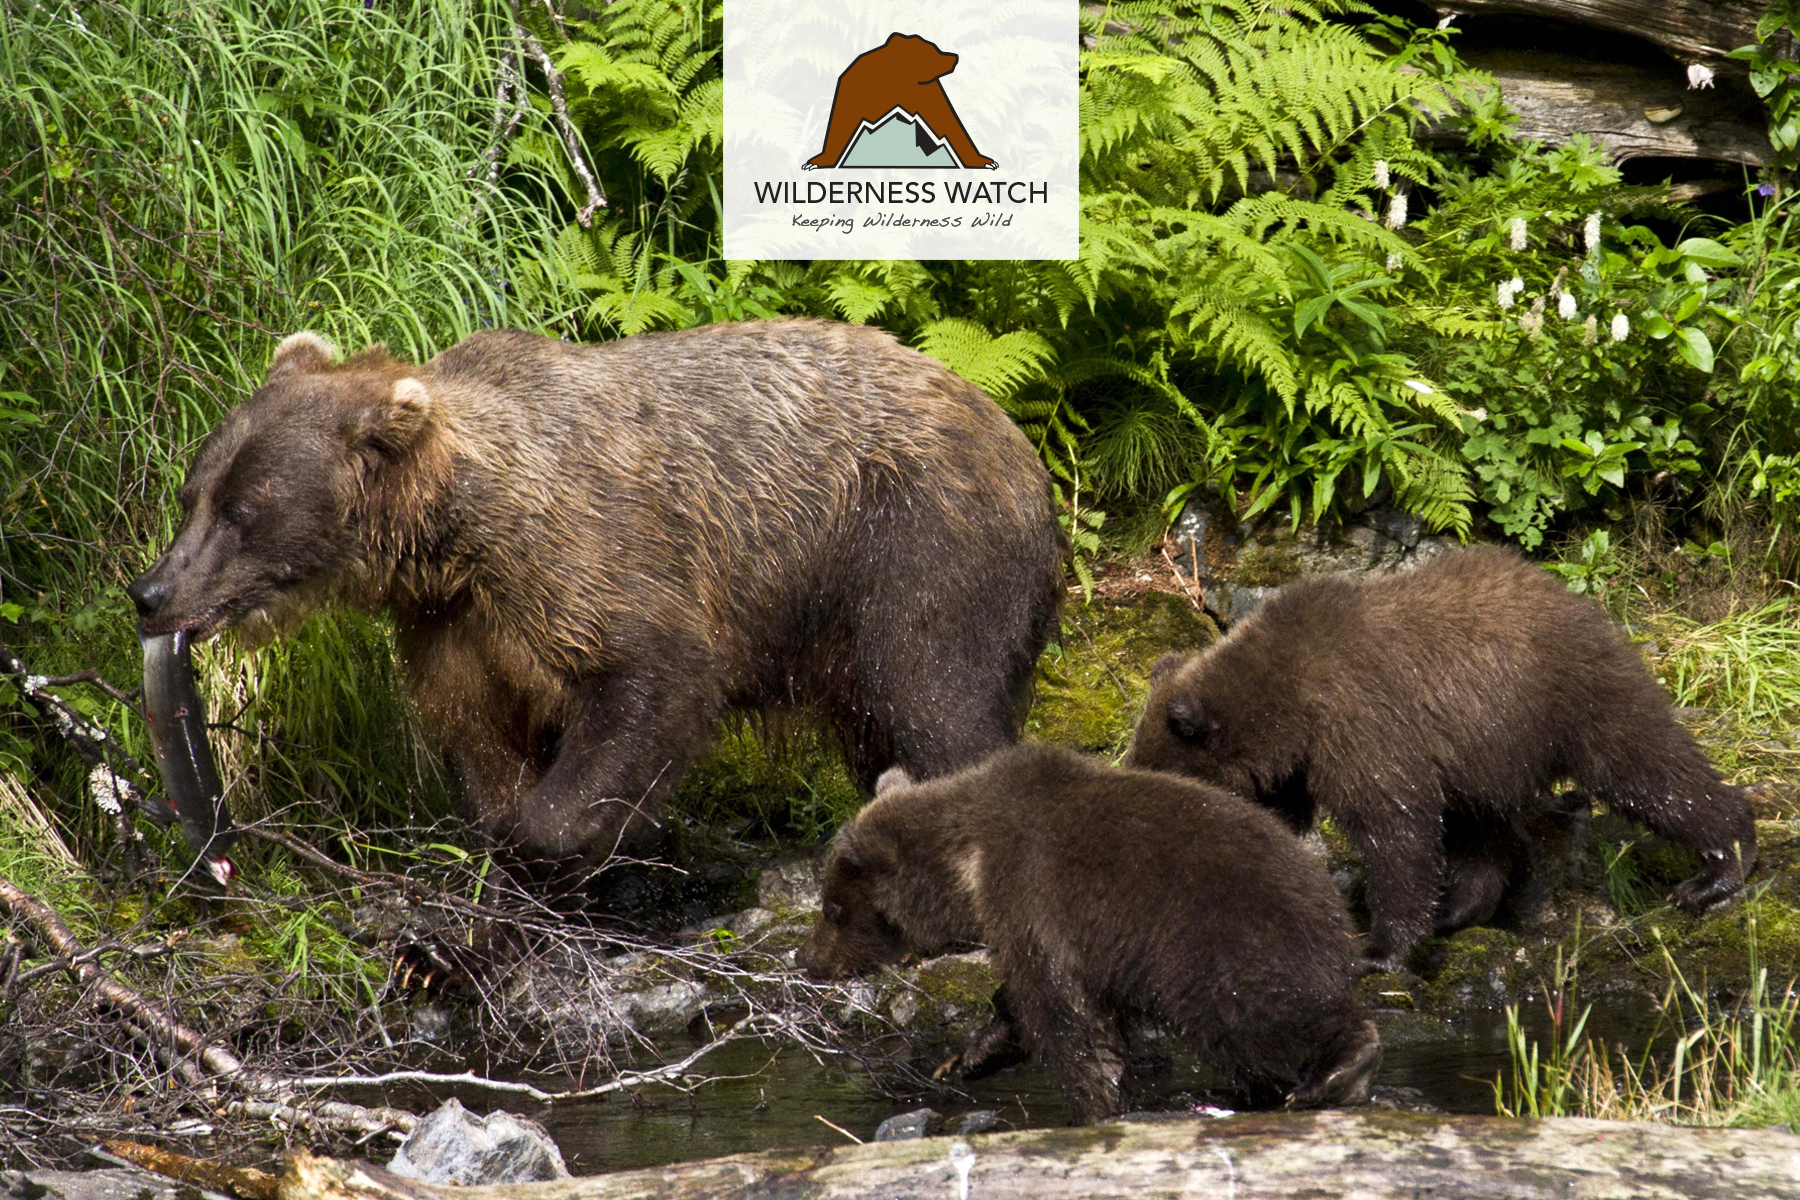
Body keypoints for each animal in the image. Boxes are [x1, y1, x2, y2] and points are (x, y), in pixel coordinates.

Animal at [133, 318, 1058, 863]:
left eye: (246, 511)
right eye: (192, 492)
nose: (151, 591)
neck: (454, 534)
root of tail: (1023, 447)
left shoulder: (585, 556)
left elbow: (655, 677)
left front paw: (591, 829)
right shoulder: (452, 622)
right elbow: (475, 730)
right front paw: (505, 825)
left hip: (910, 545)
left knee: (936, 696)